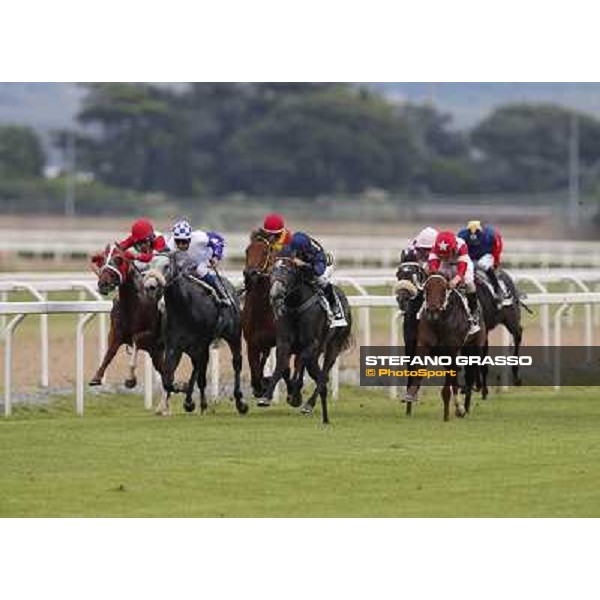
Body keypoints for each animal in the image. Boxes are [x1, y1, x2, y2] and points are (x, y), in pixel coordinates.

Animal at [89, 245, 165, 390]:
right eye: (101, 261)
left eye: (119, 260)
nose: (103, 284)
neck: (133, 304)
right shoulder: (116, 332)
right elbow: (110, 353)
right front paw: (96, 377)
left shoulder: (150, 334)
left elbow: (136, 340)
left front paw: (130, 379)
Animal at [241, 232, 298, 406]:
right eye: (247, 250)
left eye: (265, 251)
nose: (250, 274)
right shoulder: (252, 342)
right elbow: (254, 370)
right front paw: (260, 387)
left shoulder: (283, 339)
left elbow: (285, 368)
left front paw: (293, 394)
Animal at [262, 255, 352, 424]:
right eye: (271, 271)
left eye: (288, 271)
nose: (275, 294)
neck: (296, 305)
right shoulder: (284, 343)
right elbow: (281, 367)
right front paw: (267, 396)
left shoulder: (311, 344)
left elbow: (299, 364)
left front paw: (295, 393)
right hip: (316, 354)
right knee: (319, 377)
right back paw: (324, 417)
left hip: (334, 346)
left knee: (323, 376)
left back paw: (309, 404)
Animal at [408, 276, 488, 422]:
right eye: (426, 289)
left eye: (443, 289)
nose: (432, 311)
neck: (439, 324)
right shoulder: (423, 345)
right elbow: (419, 369)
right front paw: (410, 394)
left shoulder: (451, 351)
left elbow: (448, 385)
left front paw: (447, 415)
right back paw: (460, 408)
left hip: (476, 344)